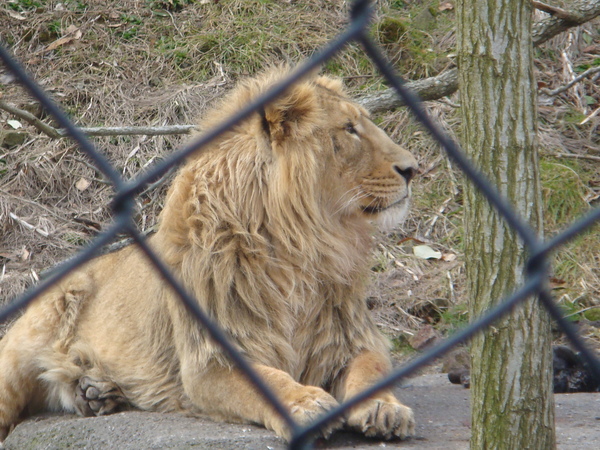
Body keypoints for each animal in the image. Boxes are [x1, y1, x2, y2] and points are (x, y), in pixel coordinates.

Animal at [0, 68, 418, 444]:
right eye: (349, 128)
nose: (413, 168)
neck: (298, 244)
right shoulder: (210, 359)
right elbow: (269, 380)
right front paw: (305, 403)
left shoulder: (351, 334)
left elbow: (371, 367)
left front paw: (384, 407)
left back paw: (95, 392)